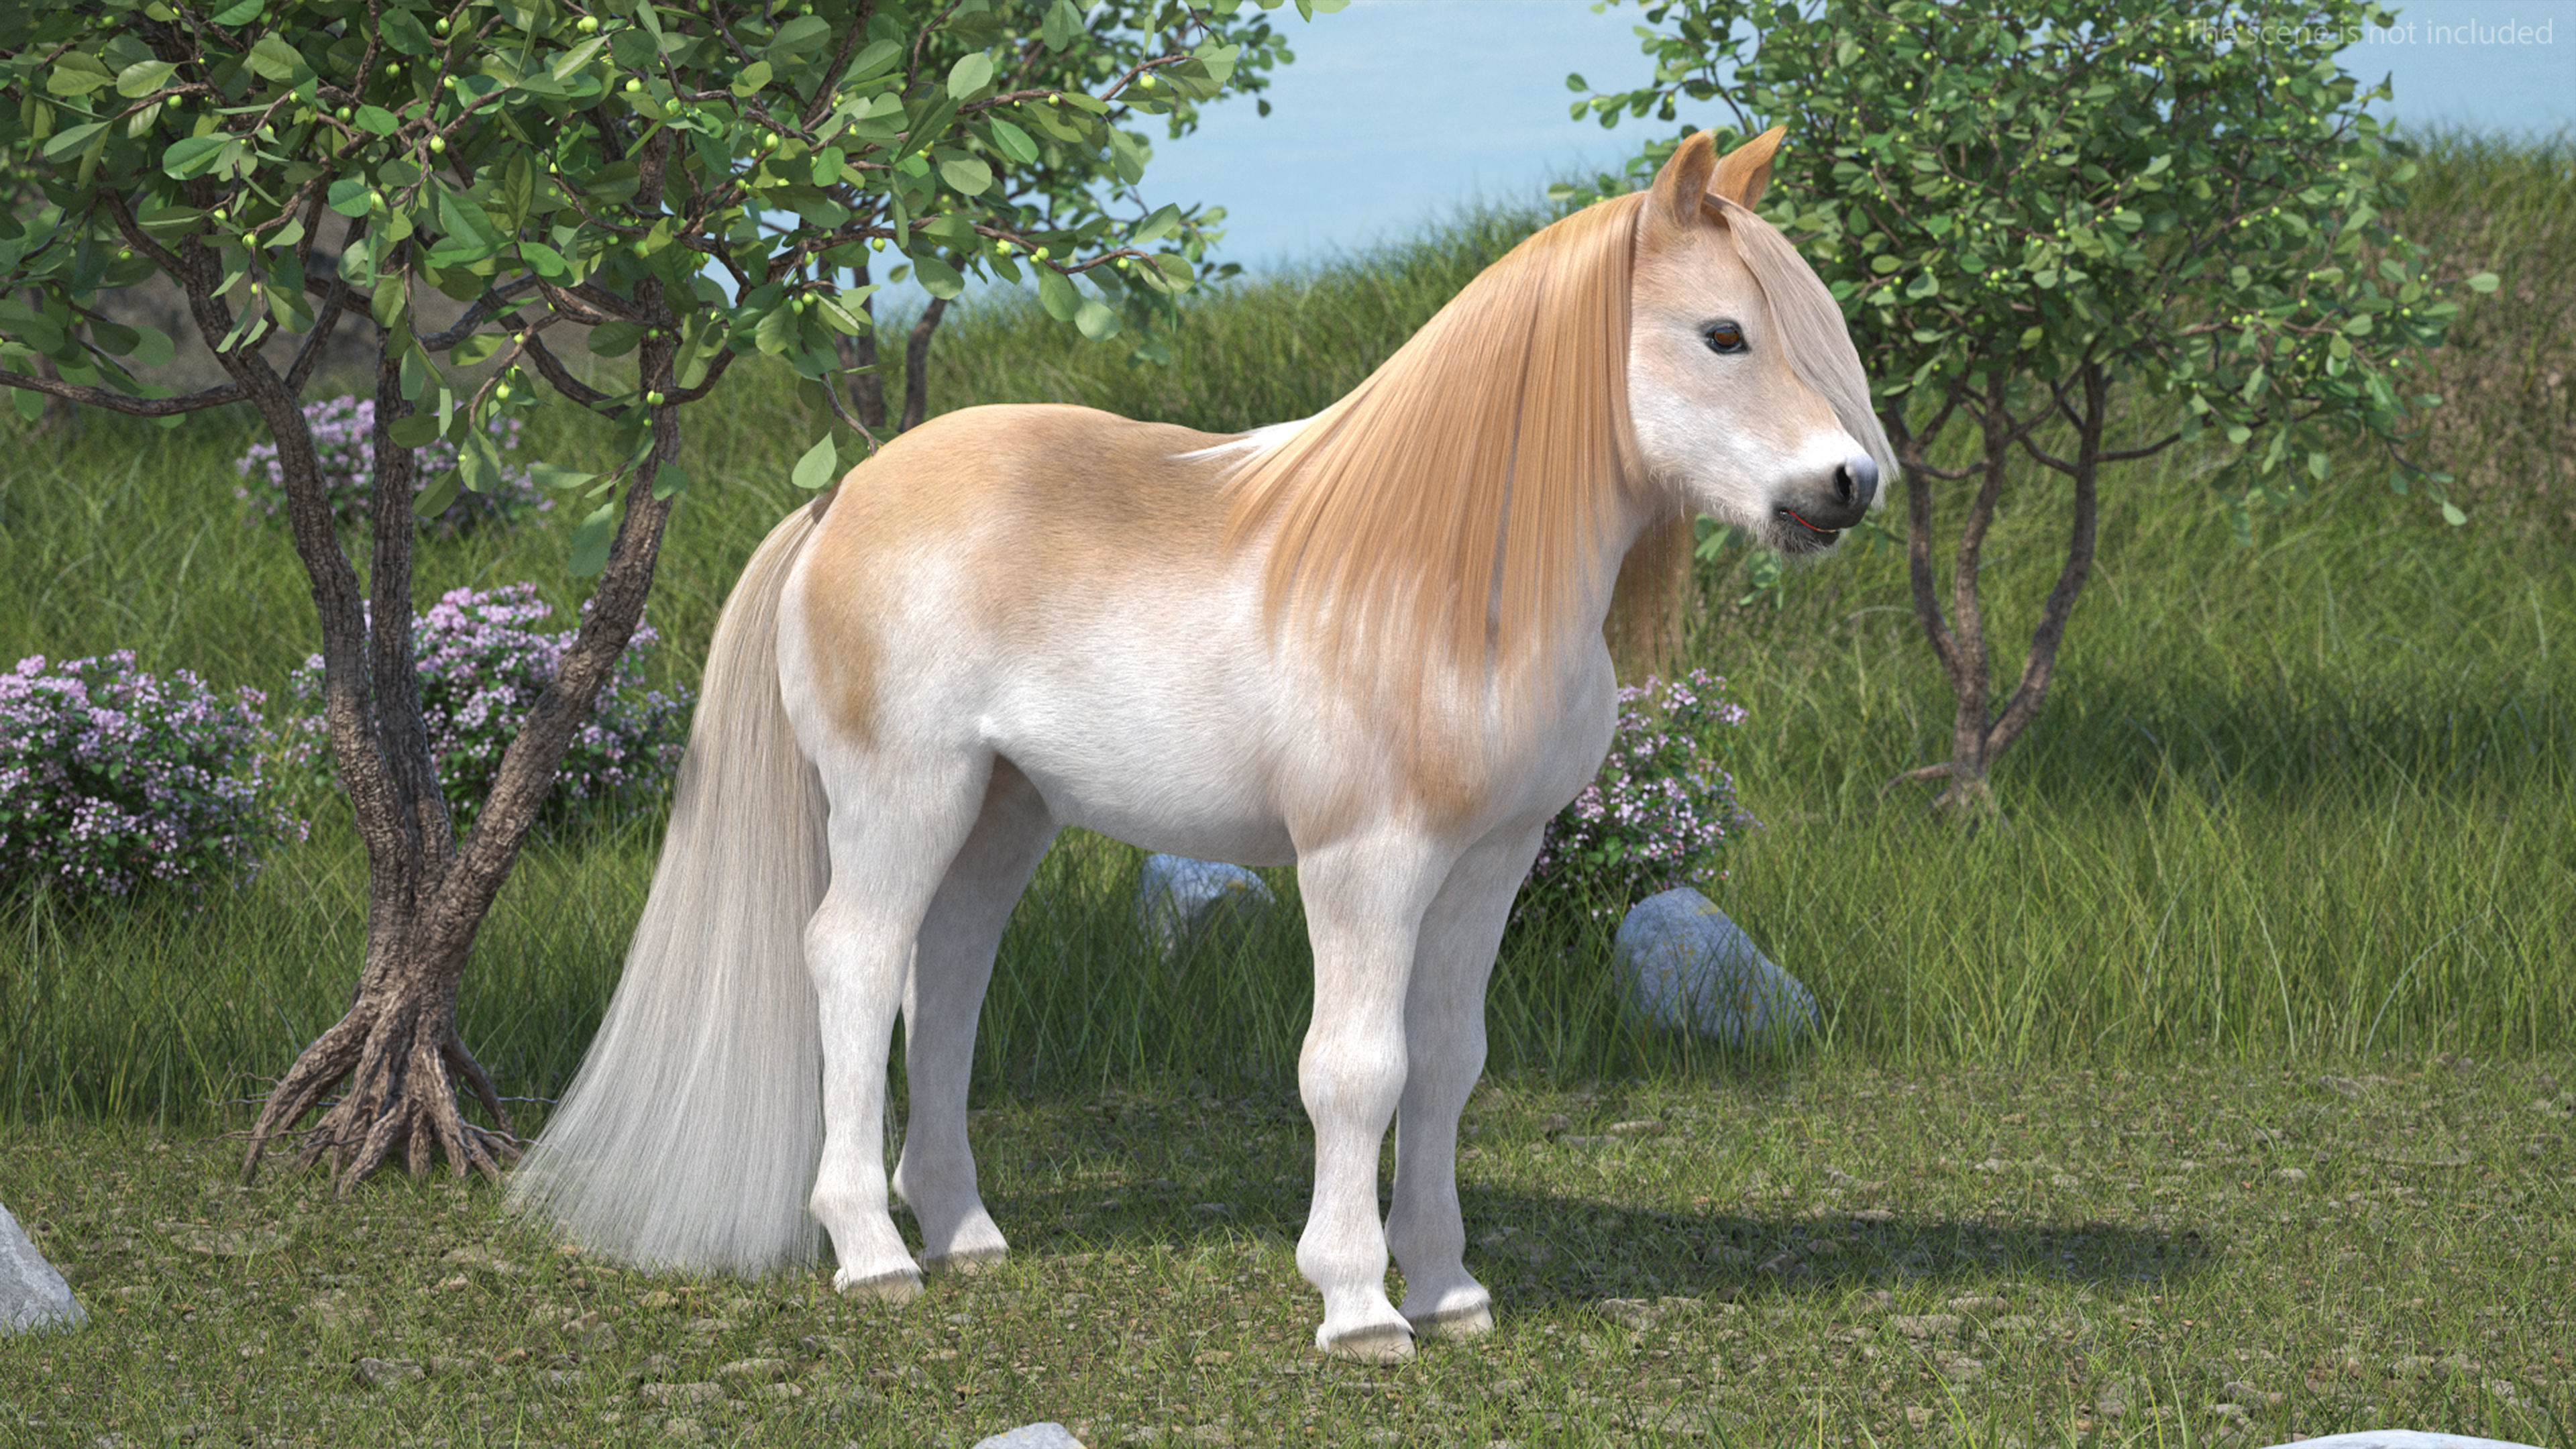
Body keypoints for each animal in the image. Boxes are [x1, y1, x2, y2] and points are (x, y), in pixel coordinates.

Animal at [509, 127, 1894, 1362]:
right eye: (1723, 334)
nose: (1848, 487)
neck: (1441, 580)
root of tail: (840, 499)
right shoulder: (1364, 865)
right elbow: (1356, 1070)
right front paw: (1360, 1309)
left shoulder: (1490, 863)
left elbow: (1447, 1065)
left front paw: (1450, 1293)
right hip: (904, 799)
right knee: (853, 962)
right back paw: (873, 1254)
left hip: (1004, 814)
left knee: (943, 976)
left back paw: (963, 1231)